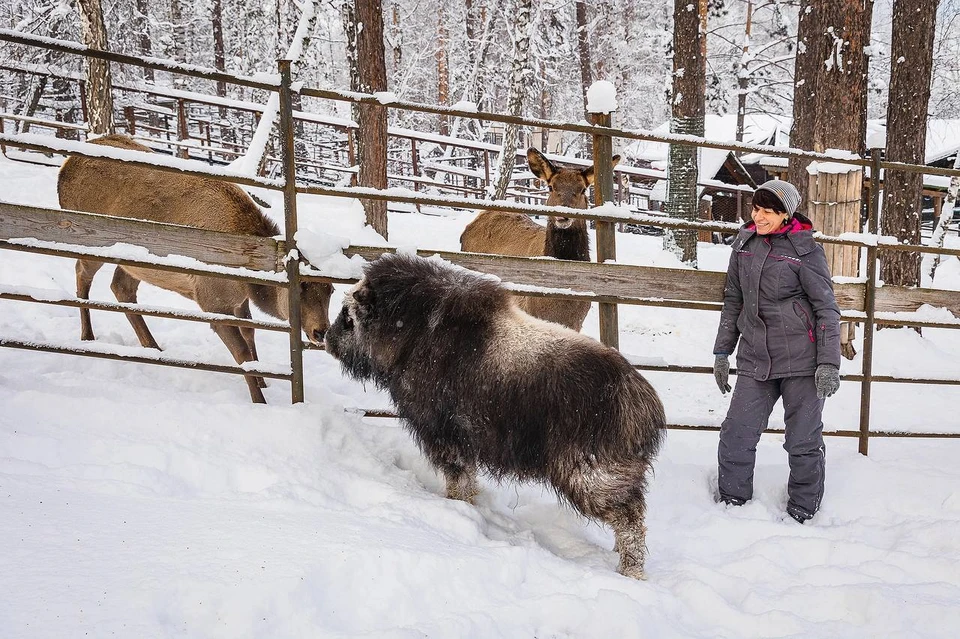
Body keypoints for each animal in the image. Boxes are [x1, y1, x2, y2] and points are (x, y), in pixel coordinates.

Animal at [57, 134, 334, 404]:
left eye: (330, 289)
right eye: (301, 286)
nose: (321, 331)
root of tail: (65, 168)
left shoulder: (238, 300)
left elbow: (250, 332)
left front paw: (264, 380)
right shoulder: (212, 301)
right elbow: (241, 352)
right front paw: (259, 400)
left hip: (135, 262)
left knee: (121, 287)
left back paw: (153, 347)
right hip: (91, 241)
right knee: (82, 273)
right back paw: (88, 335)